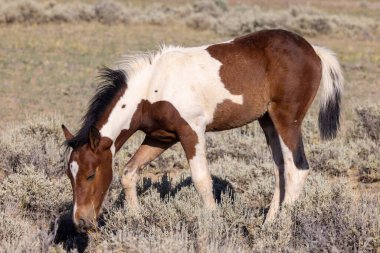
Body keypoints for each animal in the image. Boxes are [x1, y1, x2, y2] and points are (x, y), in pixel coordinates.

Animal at [60, 29, 342, 231]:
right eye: (70, 175)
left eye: (90, 174)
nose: (81, 222)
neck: (153, 87)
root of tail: (314, 51)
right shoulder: (160, 138)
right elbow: (129, 172)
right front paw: (137, 220)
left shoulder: (192, 131)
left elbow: (201, 179)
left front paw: (214, 221)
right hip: (268, 121)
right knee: (280, 169)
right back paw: (267, 225)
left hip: (287, 119)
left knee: (297, 168)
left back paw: (280, 228)